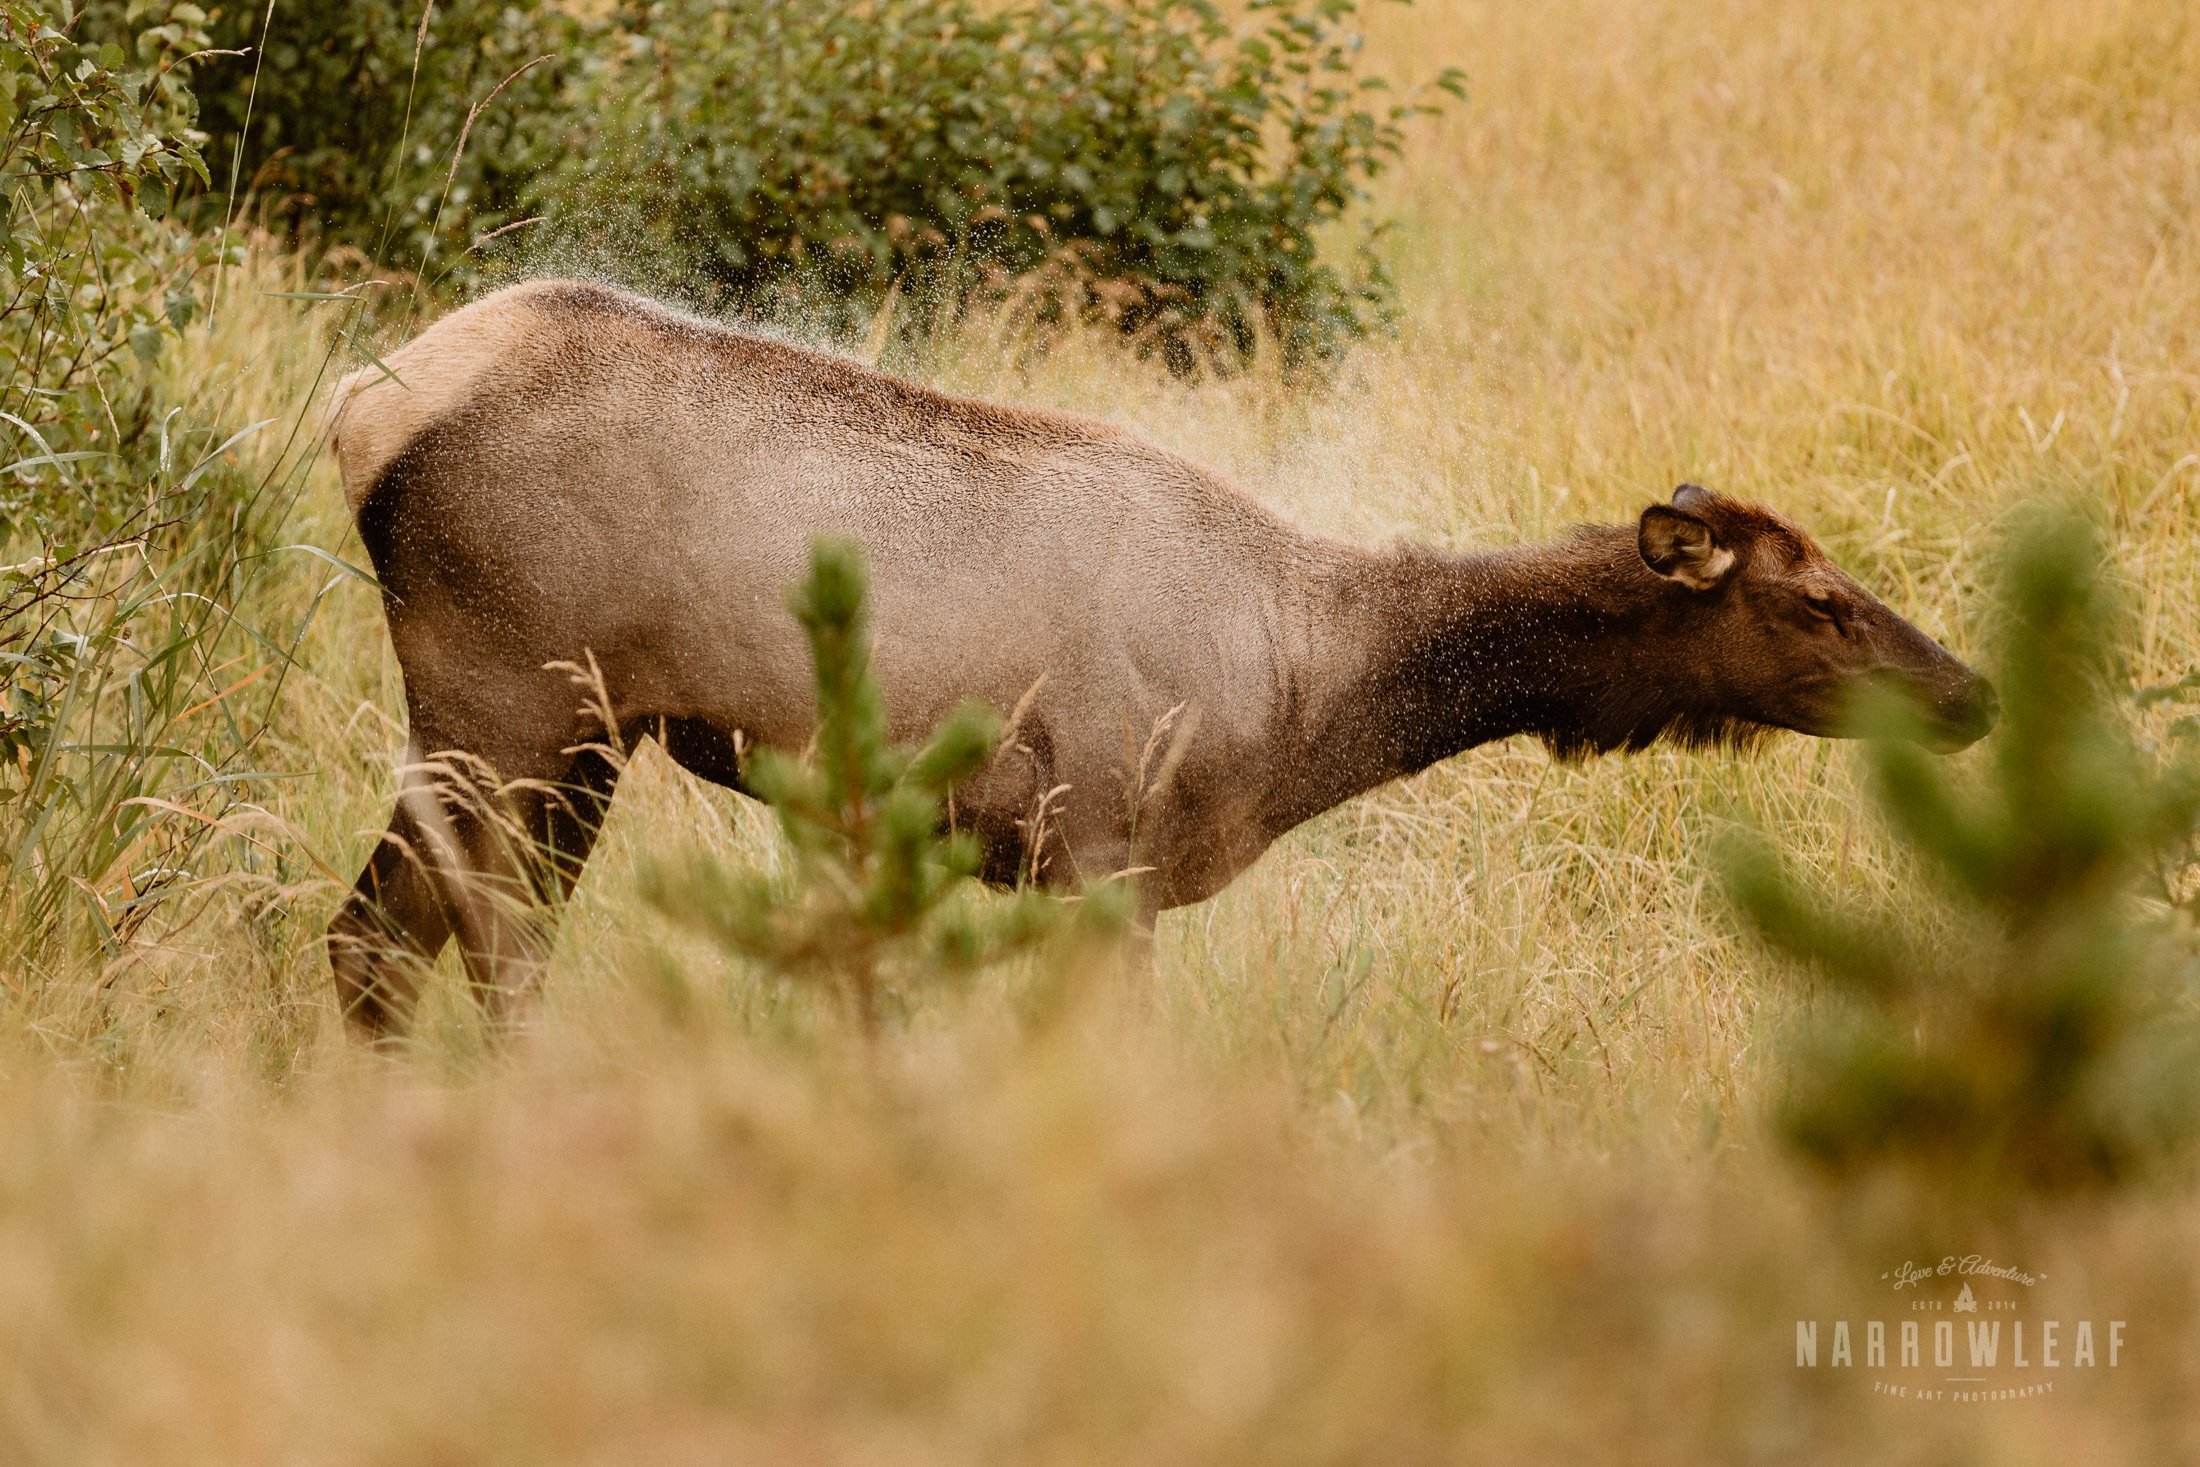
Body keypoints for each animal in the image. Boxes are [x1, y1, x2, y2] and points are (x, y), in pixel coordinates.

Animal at [321, 281, 1997, 1038]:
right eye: (1821, 601)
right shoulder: (1099, 845)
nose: (1973, 691)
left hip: (574, 730)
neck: (1315, 695)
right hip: (505, 692)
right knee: (466, 942)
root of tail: (356, 408)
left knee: (377, 937)